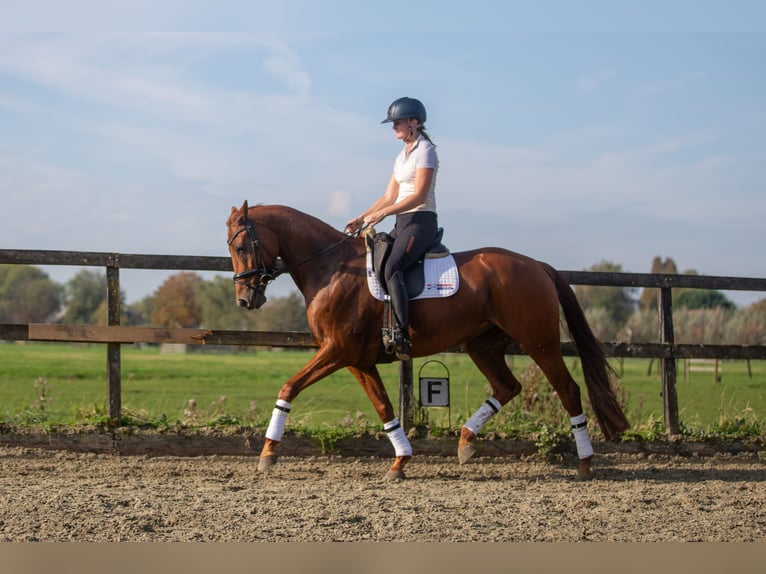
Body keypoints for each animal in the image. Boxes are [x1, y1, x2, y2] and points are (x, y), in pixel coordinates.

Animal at [226, 201, 632, 482]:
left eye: (243, 247)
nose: (245, 300)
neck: (332, 269)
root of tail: (538, 265)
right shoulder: (358, 360)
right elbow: (385, 408)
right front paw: (401, 461)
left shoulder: (337, 351)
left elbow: (289, 387)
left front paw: (268, 453)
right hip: (482, 345)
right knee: (507, 386)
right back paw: (466, 443)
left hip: (539, 343)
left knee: (568, 390)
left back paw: (585, 463)